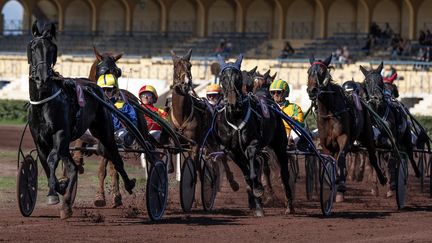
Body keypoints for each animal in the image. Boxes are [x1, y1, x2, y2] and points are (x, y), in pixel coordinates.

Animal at [27, 20, 135, 218]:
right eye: (33, 47)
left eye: (52, 48)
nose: (42, 76)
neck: (44, 103)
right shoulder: (40, 140)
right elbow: (48, 164)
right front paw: (60, 187)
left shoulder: (60, 134)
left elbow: (53, 160)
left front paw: (55, 193)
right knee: (74, 166)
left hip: (104, 132)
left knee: (114, 157)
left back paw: (128, 185)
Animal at [215, 54, 294, 215]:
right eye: (222, 78)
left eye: (238, 77)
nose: (232, 101)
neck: (236, 116)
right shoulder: (233, 151)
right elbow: (247, 174)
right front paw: (257, 204)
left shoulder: (254, 144)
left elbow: (254, 170)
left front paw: (259, 191)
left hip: (279, 145)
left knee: (283, 172)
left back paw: (289, 204)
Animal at [306, 55, 386, 201]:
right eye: (308, 72)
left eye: (322, 72)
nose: (312, 90)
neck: (329, 112)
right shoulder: (325, 143)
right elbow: (330, 161)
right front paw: (332, 181)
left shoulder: (344, 138)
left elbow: (342, 157)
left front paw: (341, 183)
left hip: (367, 135)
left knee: (372, 156)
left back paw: (381, 179)